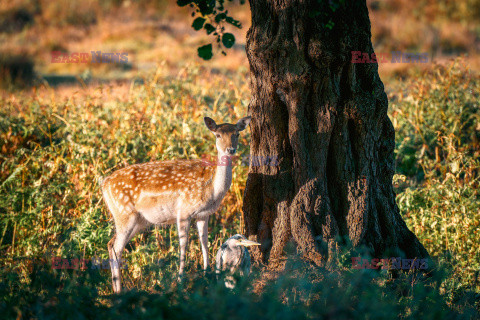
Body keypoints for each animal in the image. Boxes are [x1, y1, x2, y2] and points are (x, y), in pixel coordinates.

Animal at [101, 115, 251, 292]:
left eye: (237, 134)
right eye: (218, 135)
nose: (231, 150)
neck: (212, 190)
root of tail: (104, 184)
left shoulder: (204, 214)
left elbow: (204, 242)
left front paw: (207, 273)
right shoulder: (184, 211)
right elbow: (183, 245)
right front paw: (180, 280)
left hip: (138, 221)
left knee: (111, 244)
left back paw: (115, 286)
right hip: (124, 213)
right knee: (117, 248)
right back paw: (118, 290)